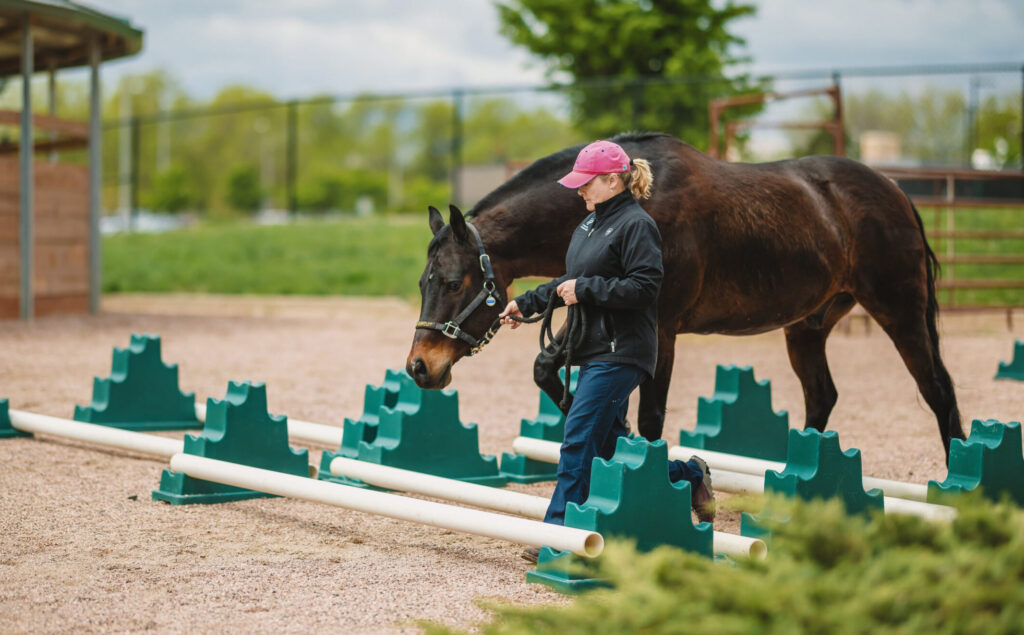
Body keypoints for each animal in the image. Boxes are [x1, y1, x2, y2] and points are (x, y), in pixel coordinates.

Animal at [406, 132, 964, 458]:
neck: (635, 203)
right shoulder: (593, 309)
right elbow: (549, 371)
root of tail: (895, 189)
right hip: (807, 326)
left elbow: (652, 415)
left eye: (452, 282)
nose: (418, 367)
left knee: (937, 387)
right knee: (821, 395)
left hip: (900, 310)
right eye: (422, 282)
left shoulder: (659, 328)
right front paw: (612, 440)